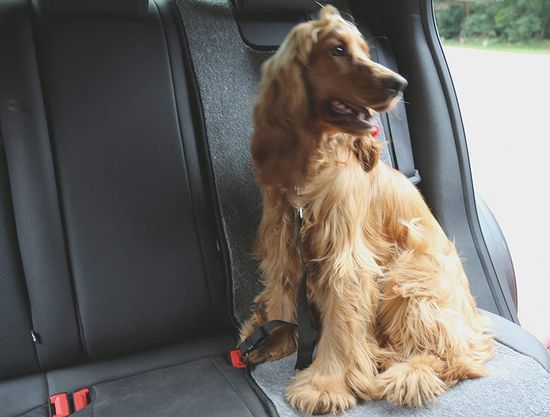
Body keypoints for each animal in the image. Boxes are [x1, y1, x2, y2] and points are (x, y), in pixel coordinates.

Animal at [240, 5, 496, 412]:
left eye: (364, 49)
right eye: (337, 50)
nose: (399, 83)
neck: (314, 163)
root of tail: (474, 322)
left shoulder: (345, 257)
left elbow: (342, 320)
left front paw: (325, 384)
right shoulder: (282, 238)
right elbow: (282, 291)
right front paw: (273, 337)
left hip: (408, 274)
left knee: (457, 356)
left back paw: (409, 372)